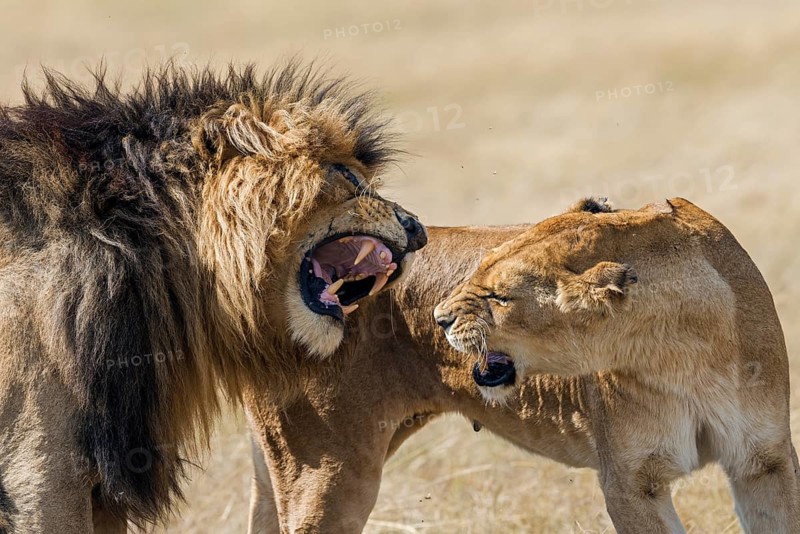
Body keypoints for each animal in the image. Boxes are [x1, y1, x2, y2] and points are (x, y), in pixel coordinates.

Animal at [435, 198, 800, 532]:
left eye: (500, 297)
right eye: (480, 266)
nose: (439, 318)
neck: (684, 352)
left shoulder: (766, 459)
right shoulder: (629, 481)